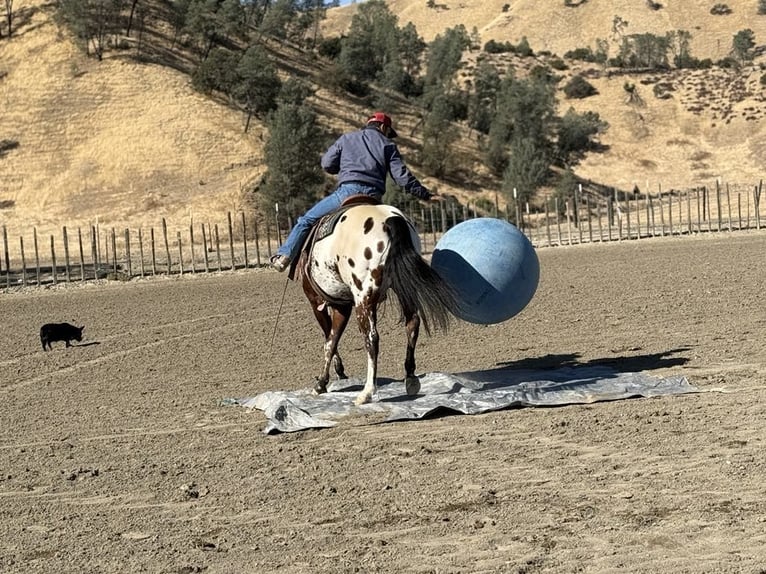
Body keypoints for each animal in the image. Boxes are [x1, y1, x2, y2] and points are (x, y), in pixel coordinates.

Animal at [296, 202, 460, 410]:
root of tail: (390, 219)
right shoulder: (342, 306)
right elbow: (332, 339)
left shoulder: (320, 302)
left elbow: (329, 342)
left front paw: (321, 383)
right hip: (402, 288)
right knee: (412, 324)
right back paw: (411, 379)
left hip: (363, 298)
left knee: (372, 338)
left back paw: (366, 393)